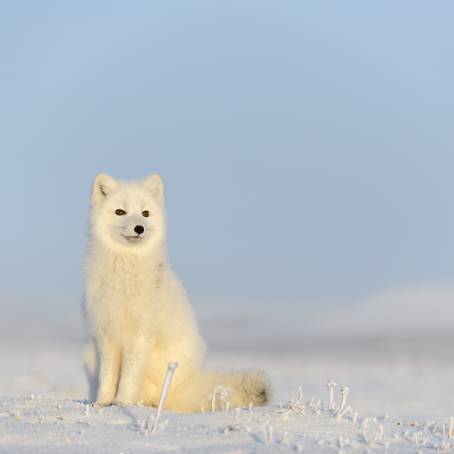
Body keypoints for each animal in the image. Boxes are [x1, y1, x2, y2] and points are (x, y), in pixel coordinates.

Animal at [82, 173, 270, 412]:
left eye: (145, 213)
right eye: (120, 212)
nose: (139, 228)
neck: (125, 272)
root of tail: (186, 385)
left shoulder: (142, 335)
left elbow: (129, 377)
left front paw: (122, 401)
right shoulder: (106, 334)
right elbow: (107, 376)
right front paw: (103, 401)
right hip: (89, 352)